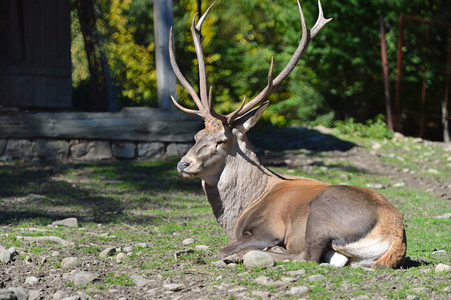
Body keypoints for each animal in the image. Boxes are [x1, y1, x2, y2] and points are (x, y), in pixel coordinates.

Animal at [168, 0, 408, 268]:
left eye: (221, 140)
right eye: (197, 136)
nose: (184, 163)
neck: (245, 207)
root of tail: (396, 236)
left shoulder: (268, 228)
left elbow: (224, 248)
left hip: (321, 214)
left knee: (307, 256)